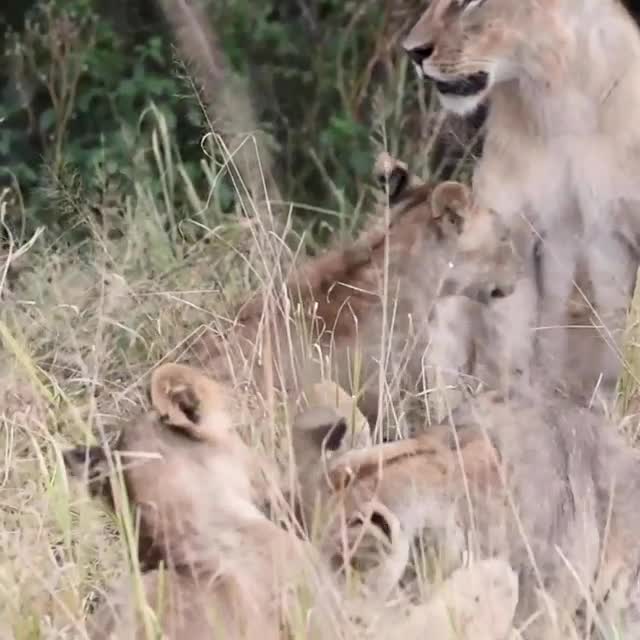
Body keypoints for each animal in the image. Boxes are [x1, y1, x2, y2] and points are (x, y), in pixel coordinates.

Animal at [402, 0, 640, 405]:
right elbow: (513, 347)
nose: (413, 52)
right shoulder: (512, 231)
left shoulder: (613, 231)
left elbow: (606, 344)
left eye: (472, 2)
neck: (557, 97)